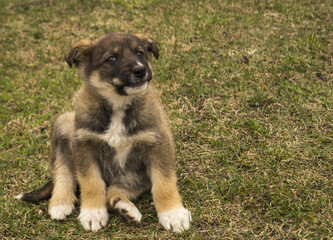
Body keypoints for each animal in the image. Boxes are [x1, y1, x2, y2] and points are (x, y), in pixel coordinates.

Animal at [16, 32, 192, 232]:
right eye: (111, 59)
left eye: (139, 53)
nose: (140, 70)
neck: (118, 104)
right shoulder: (84, 144)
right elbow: (91, 182)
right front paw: (93, 212)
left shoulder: (158, 142)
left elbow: (164, 182)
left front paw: (173, 213)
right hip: (64, 123)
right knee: (62, 171)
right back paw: (60, 201)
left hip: (134, 176)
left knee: (114, 190)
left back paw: (123, 207)